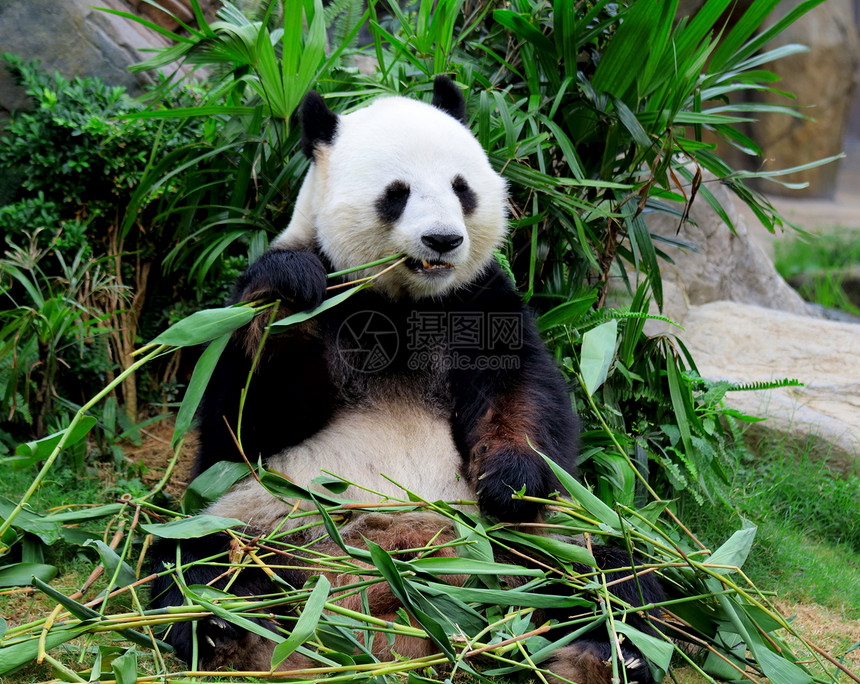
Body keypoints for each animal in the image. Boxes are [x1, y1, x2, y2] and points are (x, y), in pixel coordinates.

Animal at [151, 76, 664, 684]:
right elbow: (249, 415)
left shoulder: (478, 299)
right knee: (197, 562)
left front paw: (509, 479)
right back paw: (224, 629)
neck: (403, 301)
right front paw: (290, 288)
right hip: (269, 518)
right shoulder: (315, 299)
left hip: (541, 544)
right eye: (396, 192)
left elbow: (522, 392)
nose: (443, 240)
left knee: (612, 574)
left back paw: (607, 653)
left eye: (461, 188)